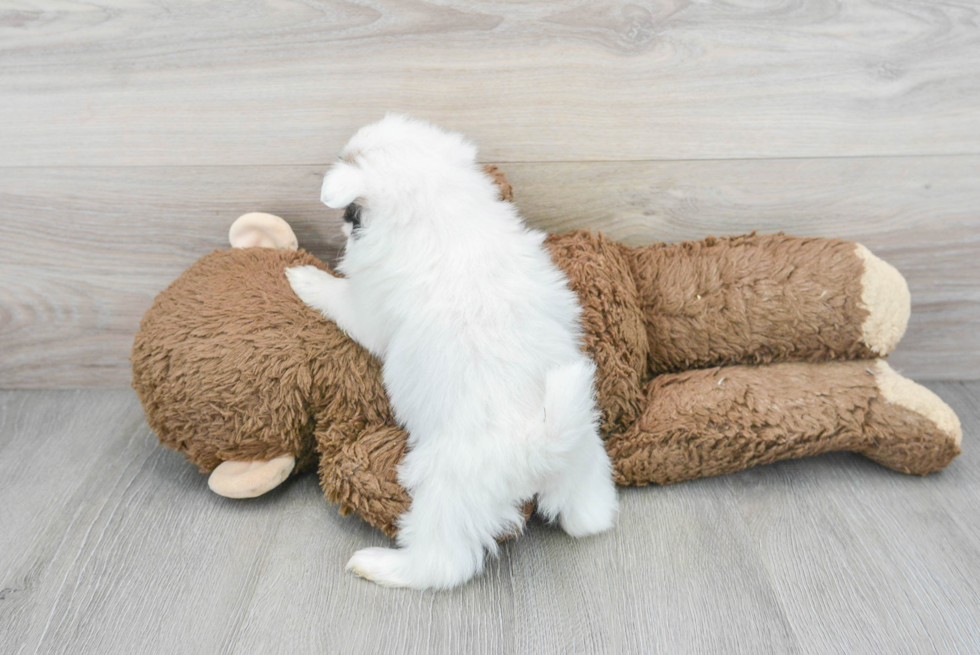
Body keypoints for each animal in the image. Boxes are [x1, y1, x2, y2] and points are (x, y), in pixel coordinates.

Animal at [288, 114, 616, 588]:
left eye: (353, 214)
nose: (344, 229)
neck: (437, 209)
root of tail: (543, 447)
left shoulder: (367, 309)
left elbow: (340, 297)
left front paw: (305, 277)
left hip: (444, 489)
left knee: (443, 561)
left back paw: (381, 565)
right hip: (587, 463)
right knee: (590, 517)